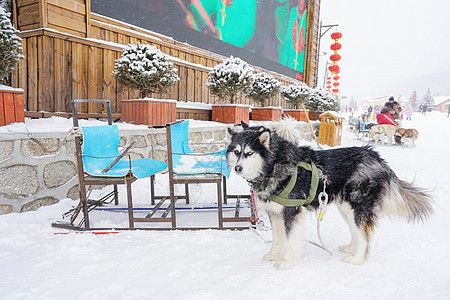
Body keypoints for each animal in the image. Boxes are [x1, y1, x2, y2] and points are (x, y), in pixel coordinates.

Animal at [227, 120, 434, 270]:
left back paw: (357, 259)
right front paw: (273, 255)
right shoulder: (275, 213)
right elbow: (278, 240)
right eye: (236, 152)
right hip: (347, 209)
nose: (237, 168)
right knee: (356, 232)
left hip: (357, 207)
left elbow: (290, 239)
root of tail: (379, 159)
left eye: (249, 153)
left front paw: (286, 261)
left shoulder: (292, 212)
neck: (274, 165)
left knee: (365, 236)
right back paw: (350, 249)